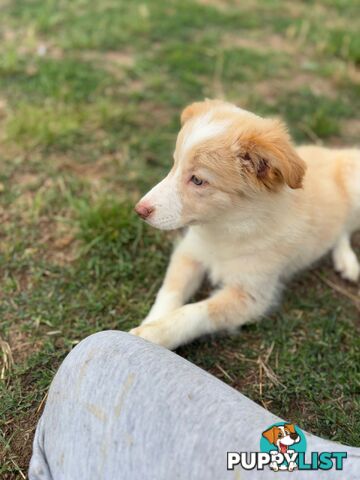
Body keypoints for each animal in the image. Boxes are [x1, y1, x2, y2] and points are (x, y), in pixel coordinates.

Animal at [129, 100, 360, 348]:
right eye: (174, 165)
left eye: (198, 180)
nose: (140, 210)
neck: (225, 229)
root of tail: (334, 152)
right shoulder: (189, 253)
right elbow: (169, 292)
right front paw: (149, 325)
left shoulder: (251, 294)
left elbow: (195, 312)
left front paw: (152, 335)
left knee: (344, 229)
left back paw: (348, 261)